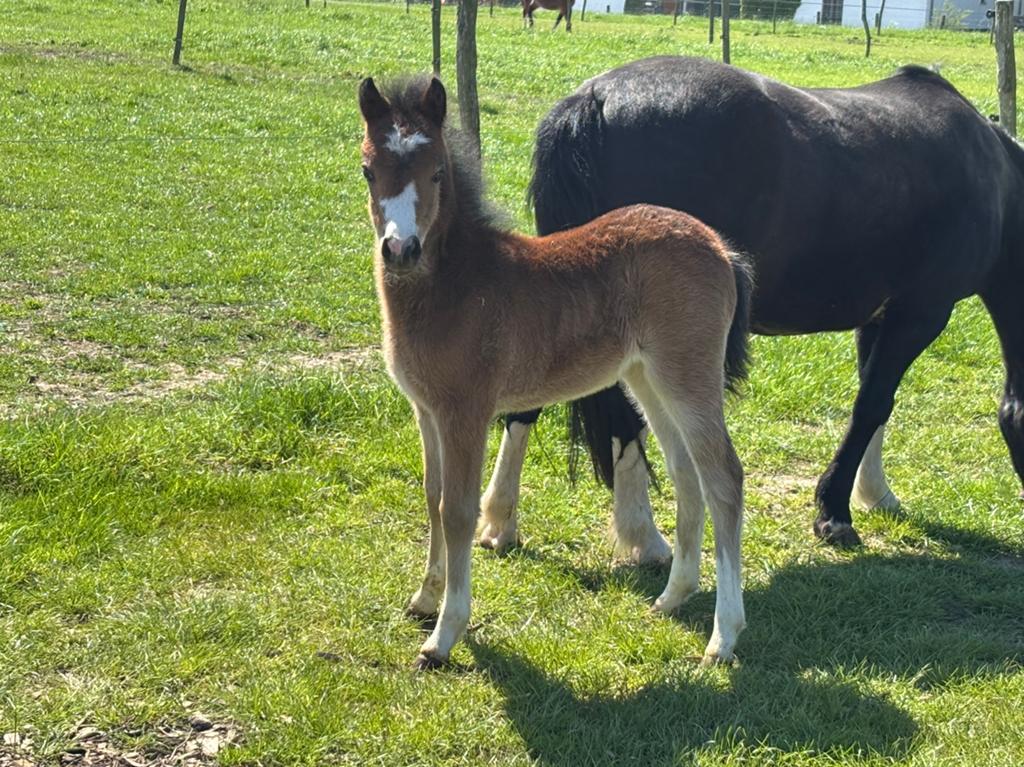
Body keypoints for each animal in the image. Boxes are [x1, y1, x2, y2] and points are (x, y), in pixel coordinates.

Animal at [359, 73, 753, 667]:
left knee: (724, 478)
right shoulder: (425, 410)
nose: (401, 249)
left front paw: (444, 634)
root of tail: (720, 247)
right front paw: (424, 599)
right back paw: (672, 597)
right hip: (647, 378)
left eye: (437, 173)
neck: (457, 286)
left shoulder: (465, 411)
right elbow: (431, 496)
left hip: (688, 374)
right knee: (688, 473)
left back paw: (723, 636)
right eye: (368, 169)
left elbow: (458, 509)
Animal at [482, 56, 1024, 552]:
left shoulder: (879, 318)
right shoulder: (922, 313)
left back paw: (501, 523)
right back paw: (644, 540)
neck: (995, 178)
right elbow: (871, 405)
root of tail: (595, 98)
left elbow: (876, 403)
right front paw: (835, 512)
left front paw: (875, 493)